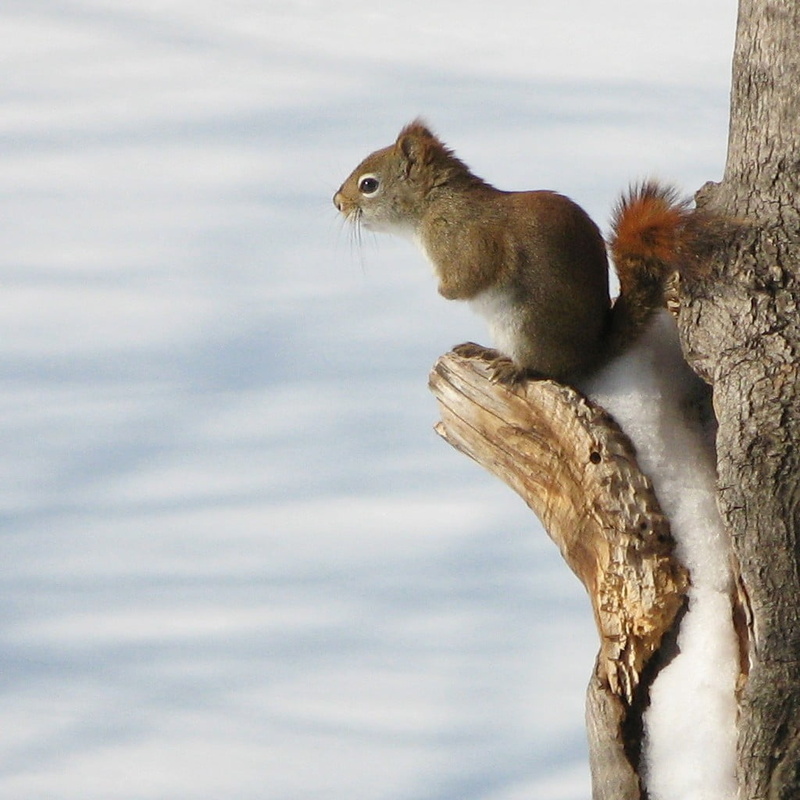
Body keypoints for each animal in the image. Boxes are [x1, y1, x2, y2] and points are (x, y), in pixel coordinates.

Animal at [333, 119, 698, 384]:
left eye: (369, 185)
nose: (337, 202)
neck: (433, 205)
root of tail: (589, 354)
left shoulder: (469, 241)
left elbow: (471, 277)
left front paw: (445, 292)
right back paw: (486, 352)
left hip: (528, 327)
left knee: (549, 370)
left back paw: (516, 368)